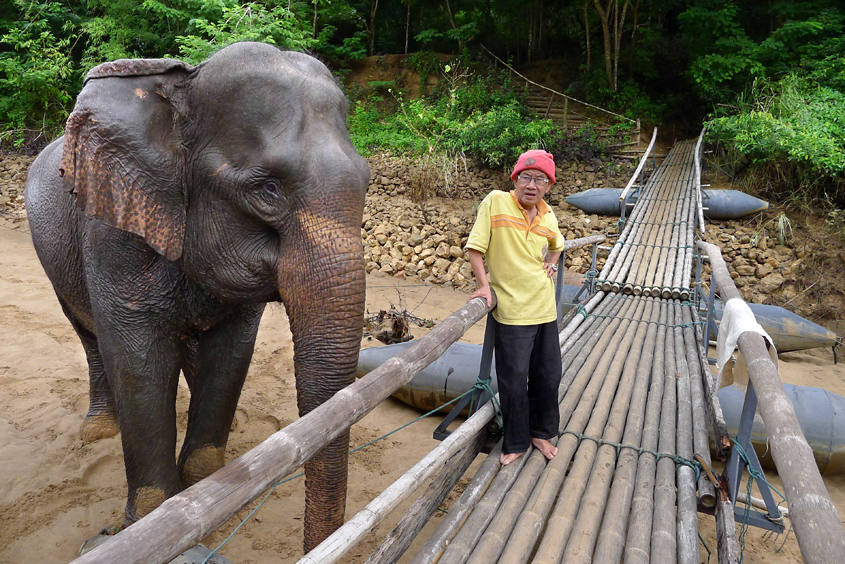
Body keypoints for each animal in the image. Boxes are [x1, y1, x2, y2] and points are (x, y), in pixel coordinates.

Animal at [25, 41, 370, 552]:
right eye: (267, 189)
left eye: (366, 183)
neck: (184, 85)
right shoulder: (114, 228)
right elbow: (139, 361)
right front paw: (142, 524)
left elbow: (229, 354)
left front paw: (205, 484)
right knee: (89, 335)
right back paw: (99, 430)